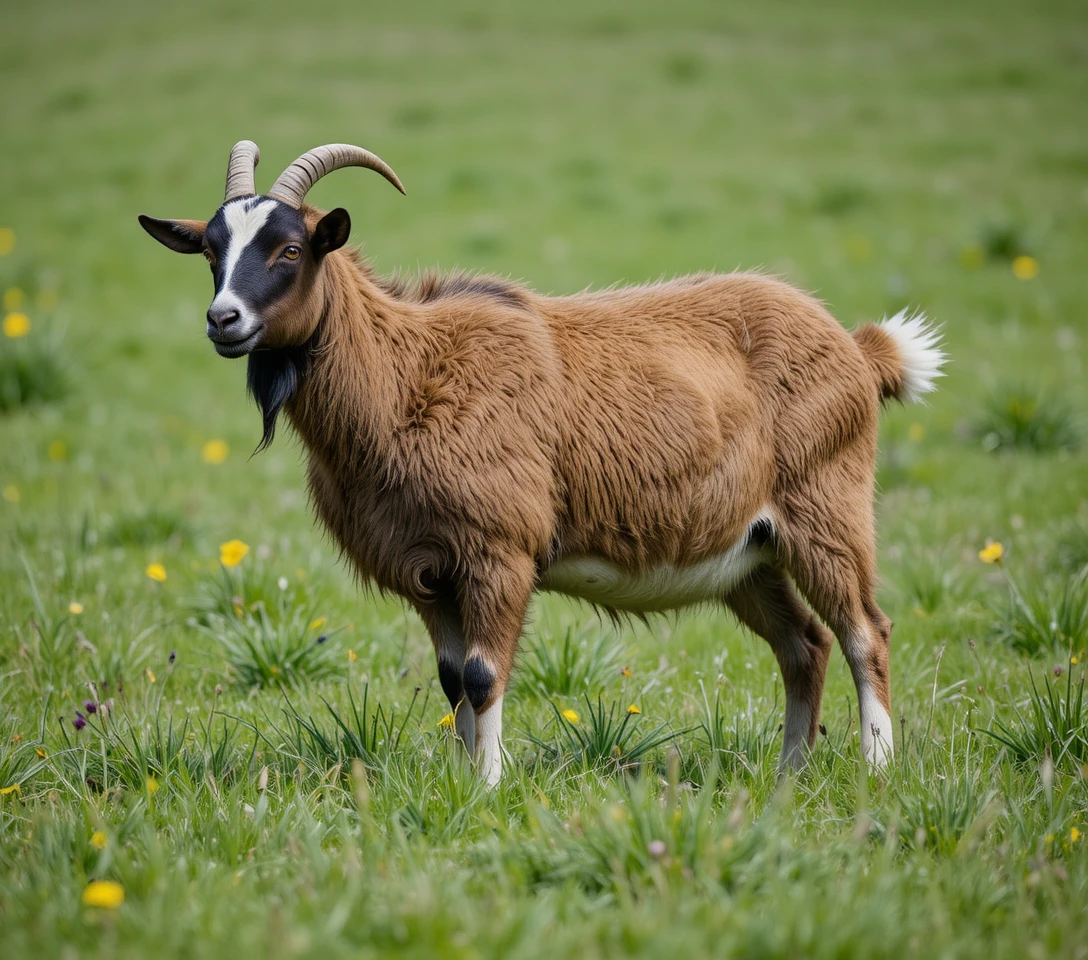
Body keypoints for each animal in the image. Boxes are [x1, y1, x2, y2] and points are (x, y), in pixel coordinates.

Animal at [140, 140, 945, 784]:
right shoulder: (432, 573)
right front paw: (461, 781)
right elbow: (450, 680)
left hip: (825, 511)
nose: (224, 320)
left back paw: (876, 769)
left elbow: (482, 674)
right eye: (212, 251)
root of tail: (857, 348)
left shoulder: (499, 552)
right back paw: (790, 773)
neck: (406, 375)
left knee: (864, 631)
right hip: (749, 555)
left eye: (290, 250)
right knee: (804, 644)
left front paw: (490, 789)